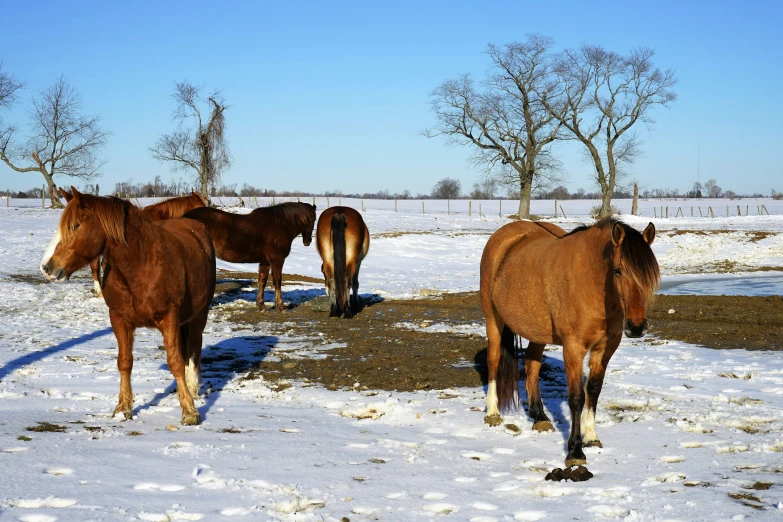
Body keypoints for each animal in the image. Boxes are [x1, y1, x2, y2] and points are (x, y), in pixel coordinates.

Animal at [41, 186, 216, 422]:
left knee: (194, 349)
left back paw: (193, 388)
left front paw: (189, 411)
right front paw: (123, 407)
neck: (140, 264)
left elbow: (176, 362)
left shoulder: (169, 318)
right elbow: (124, 362)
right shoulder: (119, 319)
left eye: (75, 225)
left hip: (199, 315)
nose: (46, 267)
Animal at [185, 201, 316, 308]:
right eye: (313, 219)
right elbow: (277, 281)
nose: (308, 242)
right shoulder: (277, 260)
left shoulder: (265, 261)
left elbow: (262, 281)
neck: (280, 224)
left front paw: (261, 305)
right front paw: (281, 306)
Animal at [480, 215, 660, 464]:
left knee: (532, 364)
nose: (636, 327)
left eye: (649, 275)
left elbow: (593, 390)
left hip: (537, 330)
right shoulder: (573, 348)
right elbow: (576, 397)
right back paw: (493, 412)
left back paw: (540, 416)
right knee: (494, 359)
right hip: (493, 319)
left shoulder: (605, 348)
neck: (593, 284)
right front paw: (575, 450)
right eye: (617, 271)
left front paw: (591, 437)